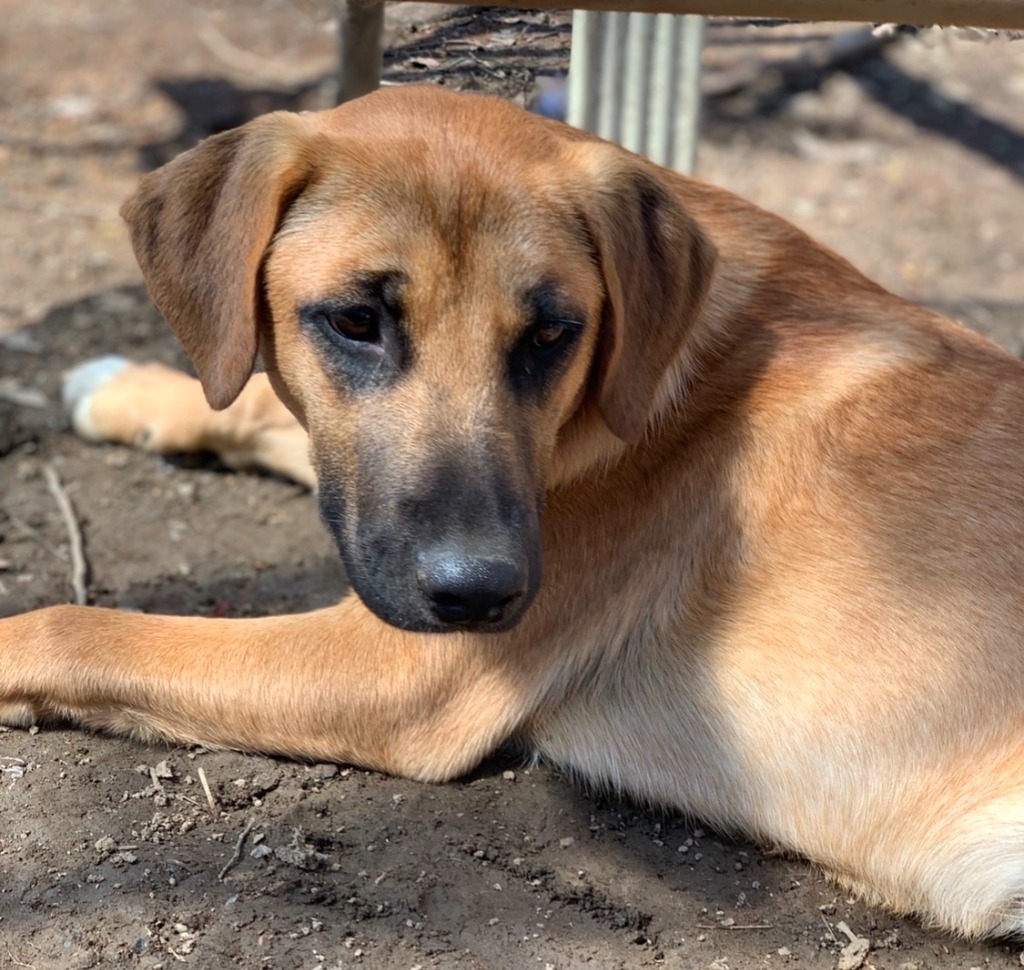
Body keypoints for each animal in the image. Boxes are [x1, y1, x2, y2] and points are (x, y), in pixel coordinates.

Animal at [2, 85, 1024, 942]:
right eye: (356, 321)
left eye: (552, 334)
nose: (480, 594)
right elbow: (255, 401)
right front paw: (131, 390)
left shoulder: (396, 669)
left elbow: (74, 627)